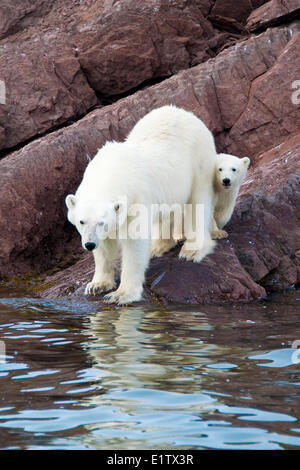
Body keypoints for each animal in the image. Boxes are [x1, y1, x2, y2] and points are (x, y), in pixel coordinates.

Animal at [65, 105, 217, 304]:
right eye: (81, 221)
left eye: (101, 222)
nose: (89, 244)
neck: (112, 171)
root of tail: (185, 113)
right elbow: (105, 247)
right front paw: (97, 285)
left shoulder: (135, 199)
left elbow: (134, 243)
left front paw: (121, 294)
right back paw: (158, 246)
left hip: (199, 161)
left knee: (198, 203)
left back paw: (192, 250)